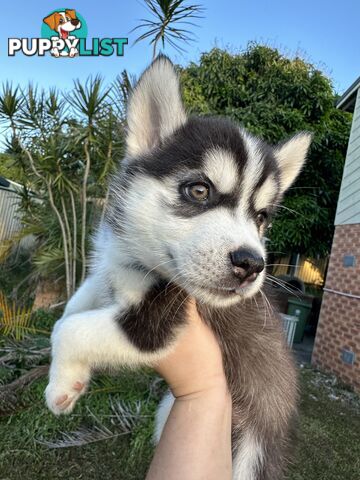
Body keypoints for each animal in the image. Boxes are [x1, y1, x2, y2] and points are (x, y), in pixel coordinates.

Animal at [44, 57, 310, 480]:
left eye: (261, 217)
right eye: (199, 190)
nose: (251, 264)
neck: (138, 258)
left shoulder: (155, 323)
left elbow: (69, 329)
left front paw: (59, 387)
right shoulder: (109, 270)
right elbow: (75, 306)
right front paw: (69, 379)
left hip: (253, 451)